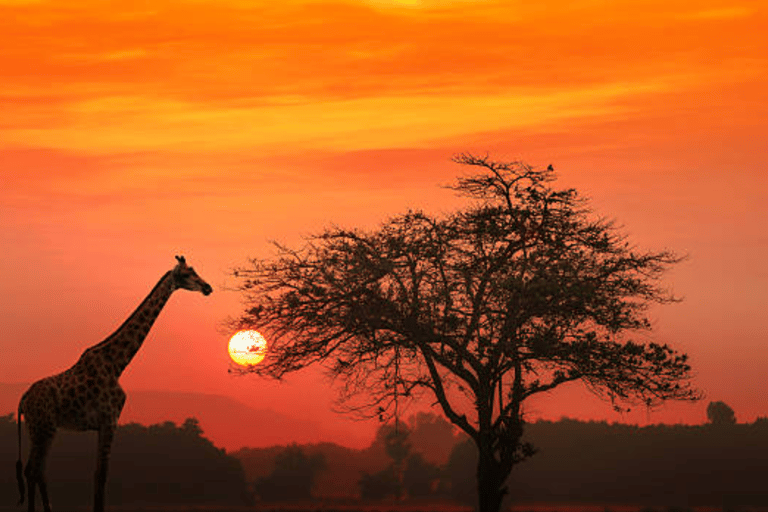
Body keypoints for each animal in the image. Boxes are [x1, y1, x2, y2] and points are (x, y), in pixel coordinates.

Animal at [15, 255, 213, 512]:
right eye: (188, 274)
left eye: (194, 271)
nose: (208, 288)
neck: (118, 364)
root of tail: (23, 399)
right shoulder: (109, 420)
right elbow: (101, 475)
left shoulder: (104, 424)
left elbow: (99, 474)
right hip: (44, 427)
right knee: (35, 470)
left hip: (39, 428)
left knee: (35, 470)